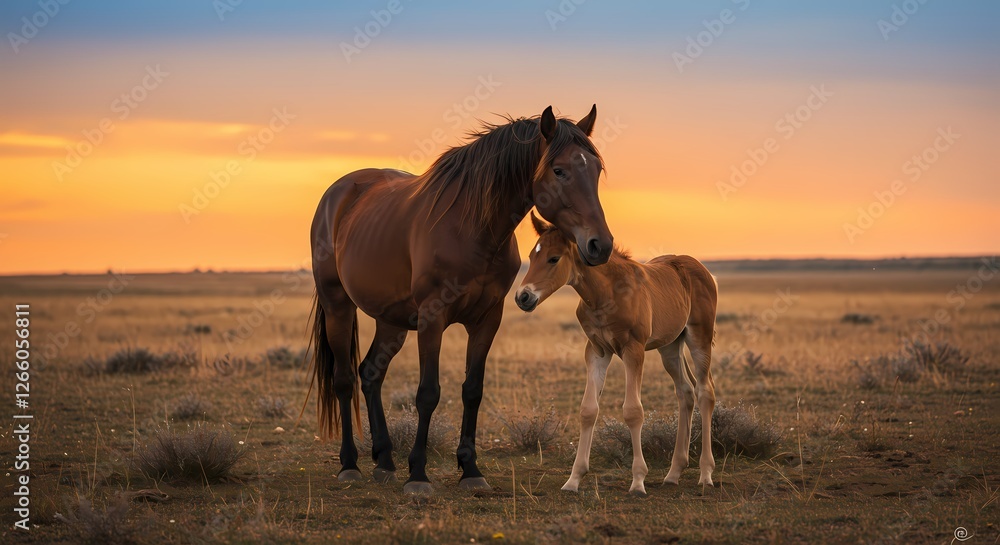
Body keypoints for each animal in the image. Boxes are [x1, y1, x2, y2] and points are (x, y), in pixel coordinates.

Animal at [309, 106, 614, 494]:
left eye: (597, 169)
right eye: (559, 170)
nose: (600, 245)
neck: (472, 230)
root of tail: (339, 192)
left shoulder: (488, 319)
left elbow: (472, 390)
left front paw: (470, 470)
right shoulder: (431, 317)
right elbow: (428, 393)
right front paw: (418, 475)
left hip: (391, 321)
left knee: (371, 373)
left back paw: (385, 460)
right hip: (338, 305)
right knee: (345, 379)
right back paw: (349, 464)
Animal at [514, 212, 718, 495]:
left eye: (553, 258)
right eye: (532, 256)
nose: (523, 297)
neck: (606, 294)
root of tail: (702, 269)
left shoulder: (634, 350)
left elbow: (633, 411)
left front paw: (638, 480)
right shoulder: (597, 351)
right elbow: (588, 410)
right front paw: (573, 479)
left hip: (699, 337)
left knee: (704, 392)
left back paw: (706, 474)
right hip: (670, 346)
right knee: (685, 392)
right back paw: (673, 473)